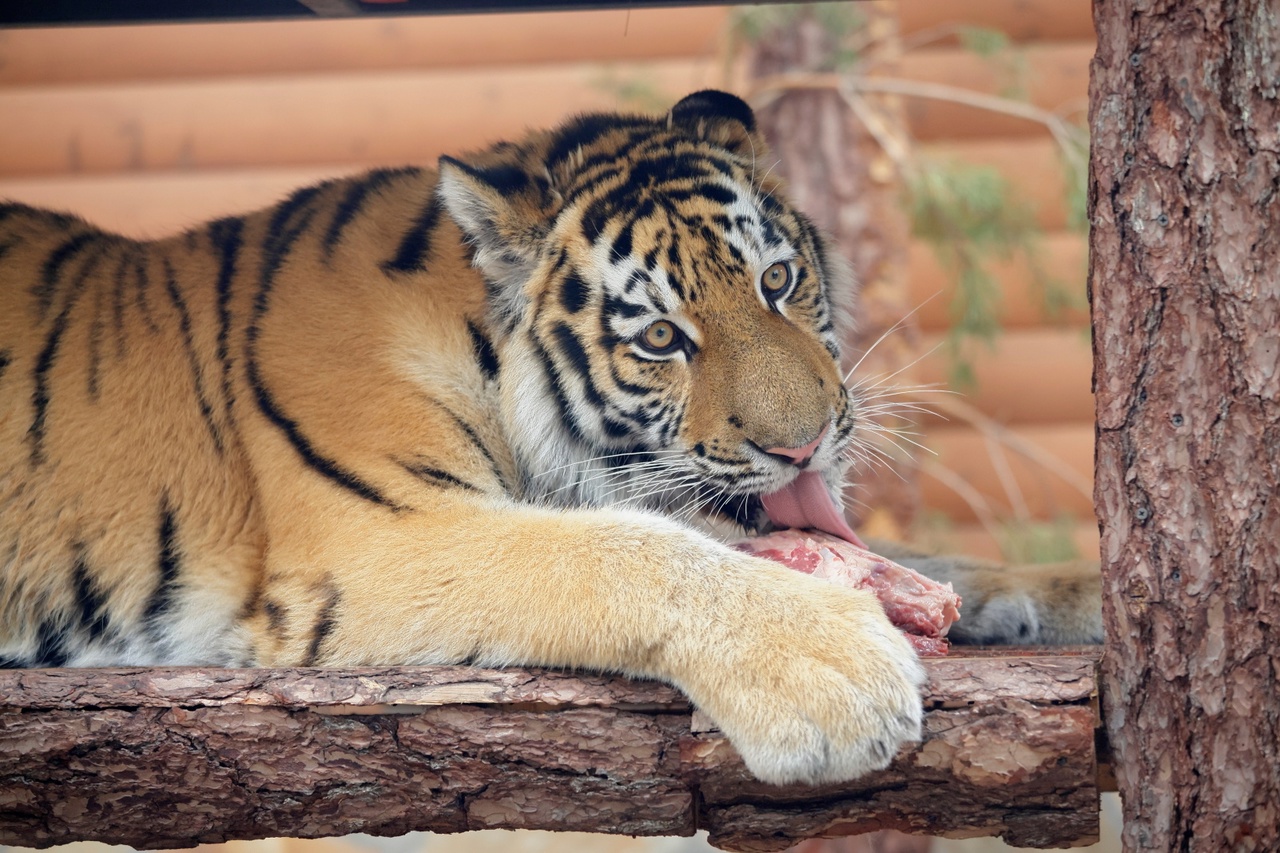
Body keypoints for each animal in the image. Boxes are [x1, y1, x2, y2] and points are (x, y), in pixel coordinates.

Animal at [0, 89, 1100, 778]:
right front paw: (836, 674)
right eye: (659, 337)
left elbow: (902, 558)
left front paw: (1069, 592)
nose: (806, 444)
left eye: (778, 279)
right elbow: (634, 549)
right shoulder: (381, 537)